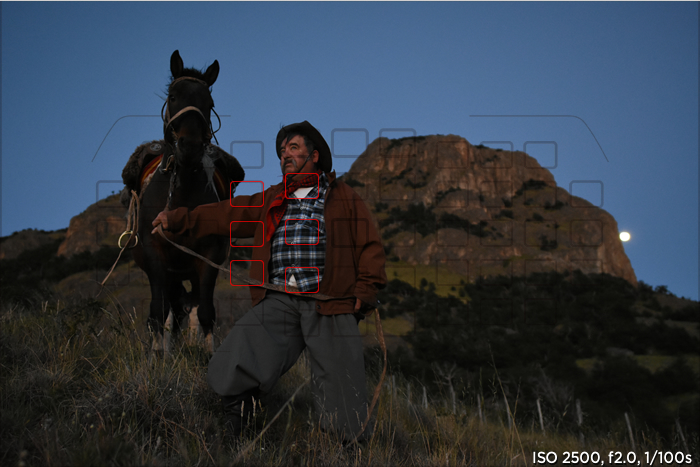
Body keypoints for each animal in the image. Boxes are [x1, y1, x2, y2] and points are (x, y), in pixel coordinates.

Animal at [129, 51, 243, 354]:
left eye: (209, 103)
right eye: (172, 96)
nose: (189, 147)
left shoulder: (208, 256)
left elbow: (205, 312)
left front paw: (209, 354)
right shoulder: (156, 254)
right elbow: (158, 313)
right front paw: (158, 357)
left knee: (186, 307)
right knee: (170, 309)